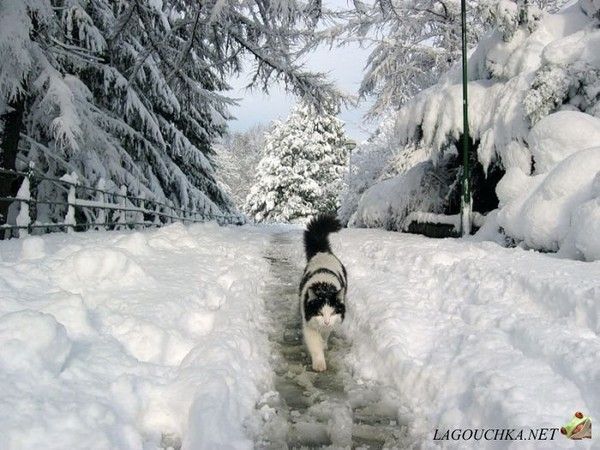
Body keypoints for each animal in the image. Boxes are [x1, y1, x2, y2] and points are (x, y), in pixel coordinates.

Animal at [300, 214, 346, 372]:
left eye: (332, 313)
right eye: (320, 313)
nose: (325, 322)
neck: (324, 287)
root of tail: (323, 251)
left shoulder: (330, 323)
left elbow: (325, 335)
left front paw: (324, 344)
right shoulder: (309, 322)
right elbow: (315, 345)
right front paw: (319, 363)